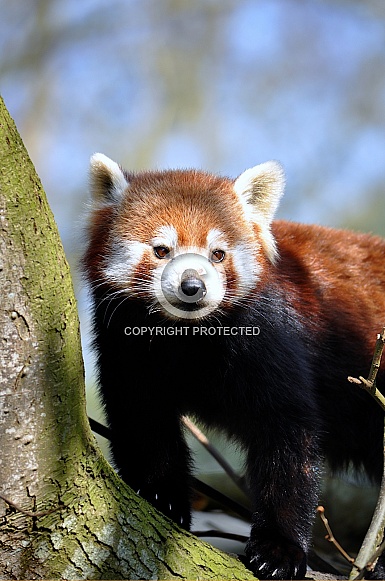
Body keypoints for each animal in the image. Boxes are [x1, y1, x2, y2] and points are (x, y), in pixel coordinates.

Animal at [81, 154, 384, 580]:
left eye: (217, 254)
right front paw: (161, 495)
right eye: (161, 250)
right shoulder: (127, 346)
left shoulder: (270, 337)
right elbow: (142, 417)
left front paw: (280, 548)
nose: (192, 286)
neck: (188, 337)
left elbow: (288, 436)